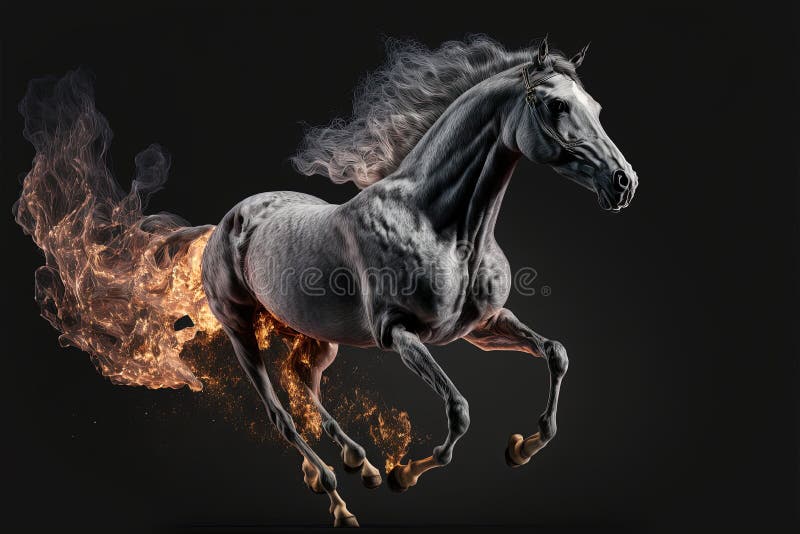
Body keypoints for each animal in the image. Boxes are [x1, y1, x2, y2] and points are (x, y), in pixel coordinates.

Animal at [200, 36, 638, 526]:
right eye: (557, 104)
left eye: (596, 107)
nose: (624, 182)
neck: (437, 222)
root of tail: (226, 222)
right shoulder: (400, 333)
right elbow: (459, 410)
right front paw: (405, 473)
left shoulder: (482, 327)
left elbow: (556, 354)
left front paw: (523, 447)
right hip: (240, 330)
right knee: (282, 417)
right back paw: (337, 496)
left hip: (315, 335)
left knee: (303, 382)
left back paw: (359, 463)